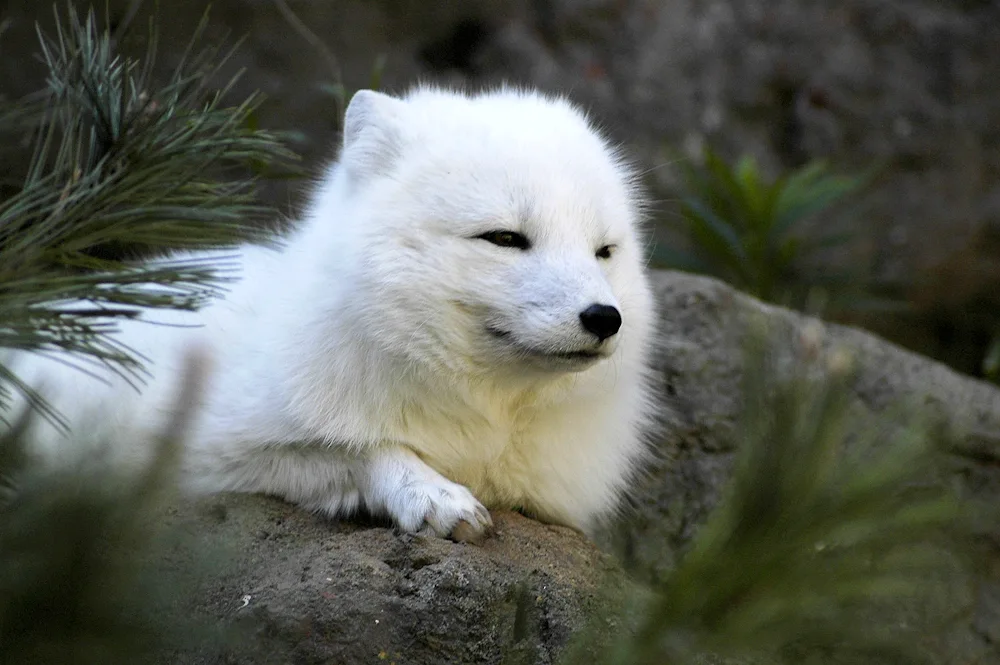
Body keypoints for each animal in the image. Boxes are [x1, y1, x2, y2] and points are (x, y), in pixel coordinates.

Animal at [15, 87, 660, 540]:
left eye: (604, 251)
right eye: (505, 238)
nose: (604, 318)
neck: (484, 421)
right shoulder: (205, 453)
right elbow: (359, 447)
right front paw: (431, 495)